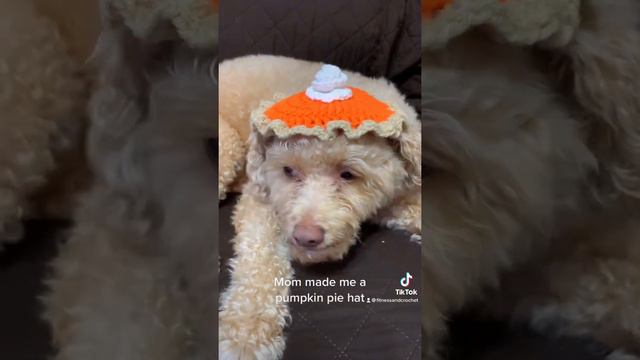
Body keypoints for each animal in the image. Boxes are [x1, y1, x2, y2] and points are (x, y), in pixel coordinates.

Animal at [218, 54, 422, 358]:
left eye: (348, 174)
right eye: (288, 170)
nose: (306, 237)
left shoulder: (395, 195)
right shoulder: (261, 199)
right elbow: (259, 262)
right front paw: (246, 335)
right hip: (227, 145)